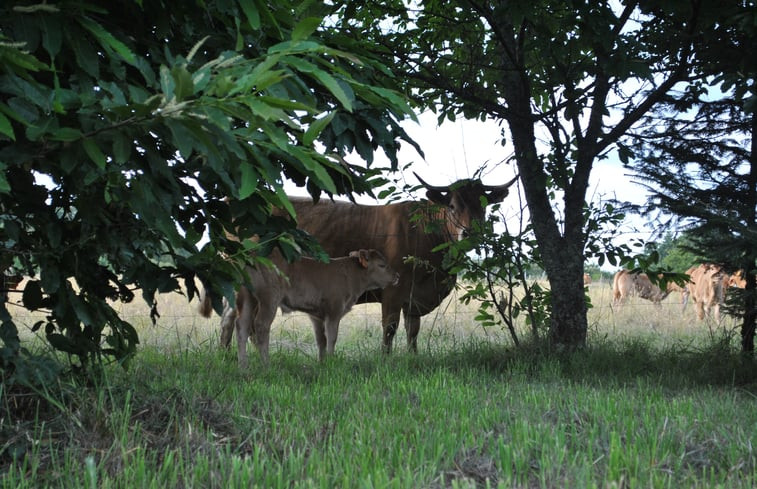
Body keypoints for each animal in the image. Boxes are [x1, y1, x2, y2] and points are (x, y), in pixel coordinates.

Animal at [201, 248, 402, 366]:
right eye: (382, 265)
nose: (396, 276)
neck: (350, 275)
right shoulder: (334, 310)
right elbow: (332, 337)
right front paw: (331, 361)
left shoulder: (316, 314)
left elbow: (321, 339)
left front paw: (322, 363)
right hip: (269, 297)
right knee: (260, 326)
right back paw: (266, 364)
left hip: (247, 298)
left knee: (241, 325)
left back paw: (243, 365)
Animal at [216, 173, 516, 352]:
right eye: (452, 206)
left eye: (483, 204)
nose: (469, 233)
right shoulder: (393, 290)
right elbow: (390, 328)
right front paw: (386, 359)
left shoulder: (414, 297)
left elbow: (413, 331)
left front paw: (413, 357)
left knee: (232, 319)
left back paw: (226, 356)